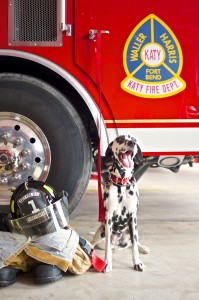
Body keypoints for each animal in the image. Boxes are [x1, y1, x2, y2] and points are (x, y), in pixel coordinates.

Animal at [91, 135, 150, 274]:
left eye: (134, 139)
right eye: (121, 139)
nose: (132, 143)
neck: (122, 184)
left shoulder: (133, 217)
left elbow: (134, 247)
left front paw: (137, 263)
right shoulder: (108, 218)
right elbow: (107, 248)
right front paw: (107, 263)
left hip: (132, 232)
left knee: (134, 243)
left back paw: (143, 248)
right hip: (101, 233)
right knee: (93, 243)